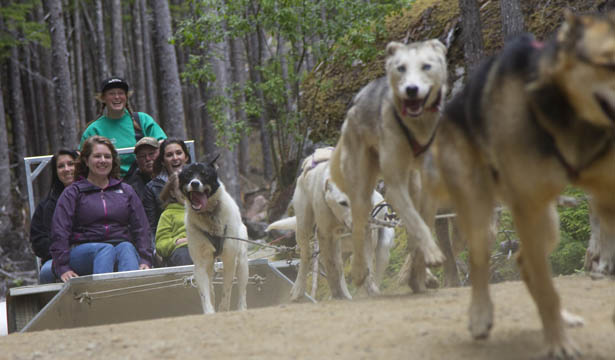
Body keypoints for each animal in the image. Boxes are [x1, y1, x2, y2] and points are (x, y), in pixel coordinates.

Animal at [180, 160, 250, 316]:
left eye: (204, 174)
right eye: (188, 175)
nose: (194, 183)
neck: (209, 216)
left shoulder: (230, 259)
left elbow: (227, 290)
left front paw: (223, 308)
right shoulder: (200, 264)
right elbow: (205, 294)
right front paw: (209, 310)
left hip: (242, 261)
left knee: (242, 291)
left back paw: (242, 308)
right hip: (209, 264)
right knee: (210, 285)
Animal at [268, 147, 394, 300]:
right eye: (343, 203)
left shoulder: (367, 236)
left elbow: (366, 266)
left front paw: (367, 287)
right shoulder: (324, 235)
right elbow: (332, 269)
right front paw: (337, 293)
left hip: (382, 249)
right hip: (304, 227)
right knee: (307, 258)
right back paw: (299, 290)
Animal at [330, 38, 450, 294]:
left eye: (426, 66)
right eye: (401, 68)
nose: (411, 89)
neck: (416, 128)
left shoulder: (428, 188)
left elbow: (422, 225)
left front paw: (419, 273)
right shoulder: (394, 189)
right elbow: (416, 223)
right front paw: (431, 255)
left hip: (413, 184)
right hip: (362, 188)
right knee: (359, 226)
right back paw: (359, 271)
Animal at [436, 10, 612, 358]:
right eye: (608, 62)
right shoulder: (527, 207)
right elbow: (547, 290)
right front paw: (558, 344)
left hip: (548, 221)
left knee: (524, 260)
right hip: (482, 213)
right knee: (480, 262)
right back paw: (481, 315)